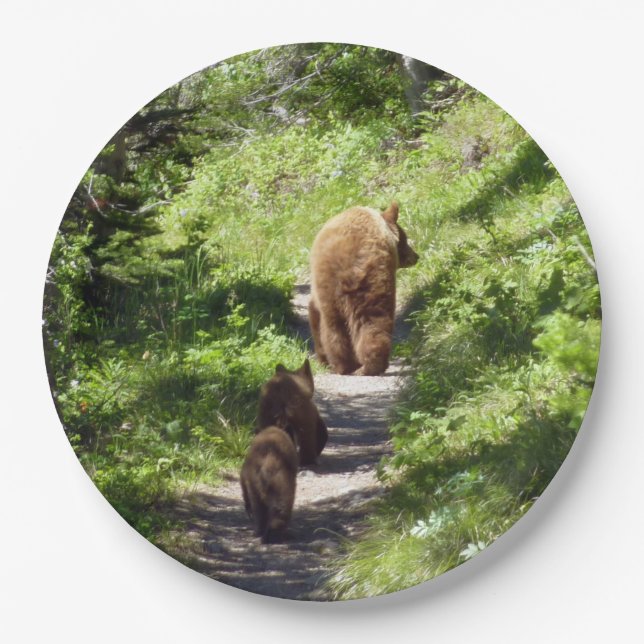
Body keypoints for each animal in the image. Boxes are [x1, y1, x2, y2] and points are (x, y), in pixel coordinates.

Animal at [309, 201, 419, 376]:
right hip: (369, 282)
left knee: (339, 327)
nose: (416, 256)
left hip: (341, 288)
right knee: (368, 321)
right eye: (405, 238)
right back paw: (363, 365)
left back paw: (349, 366)